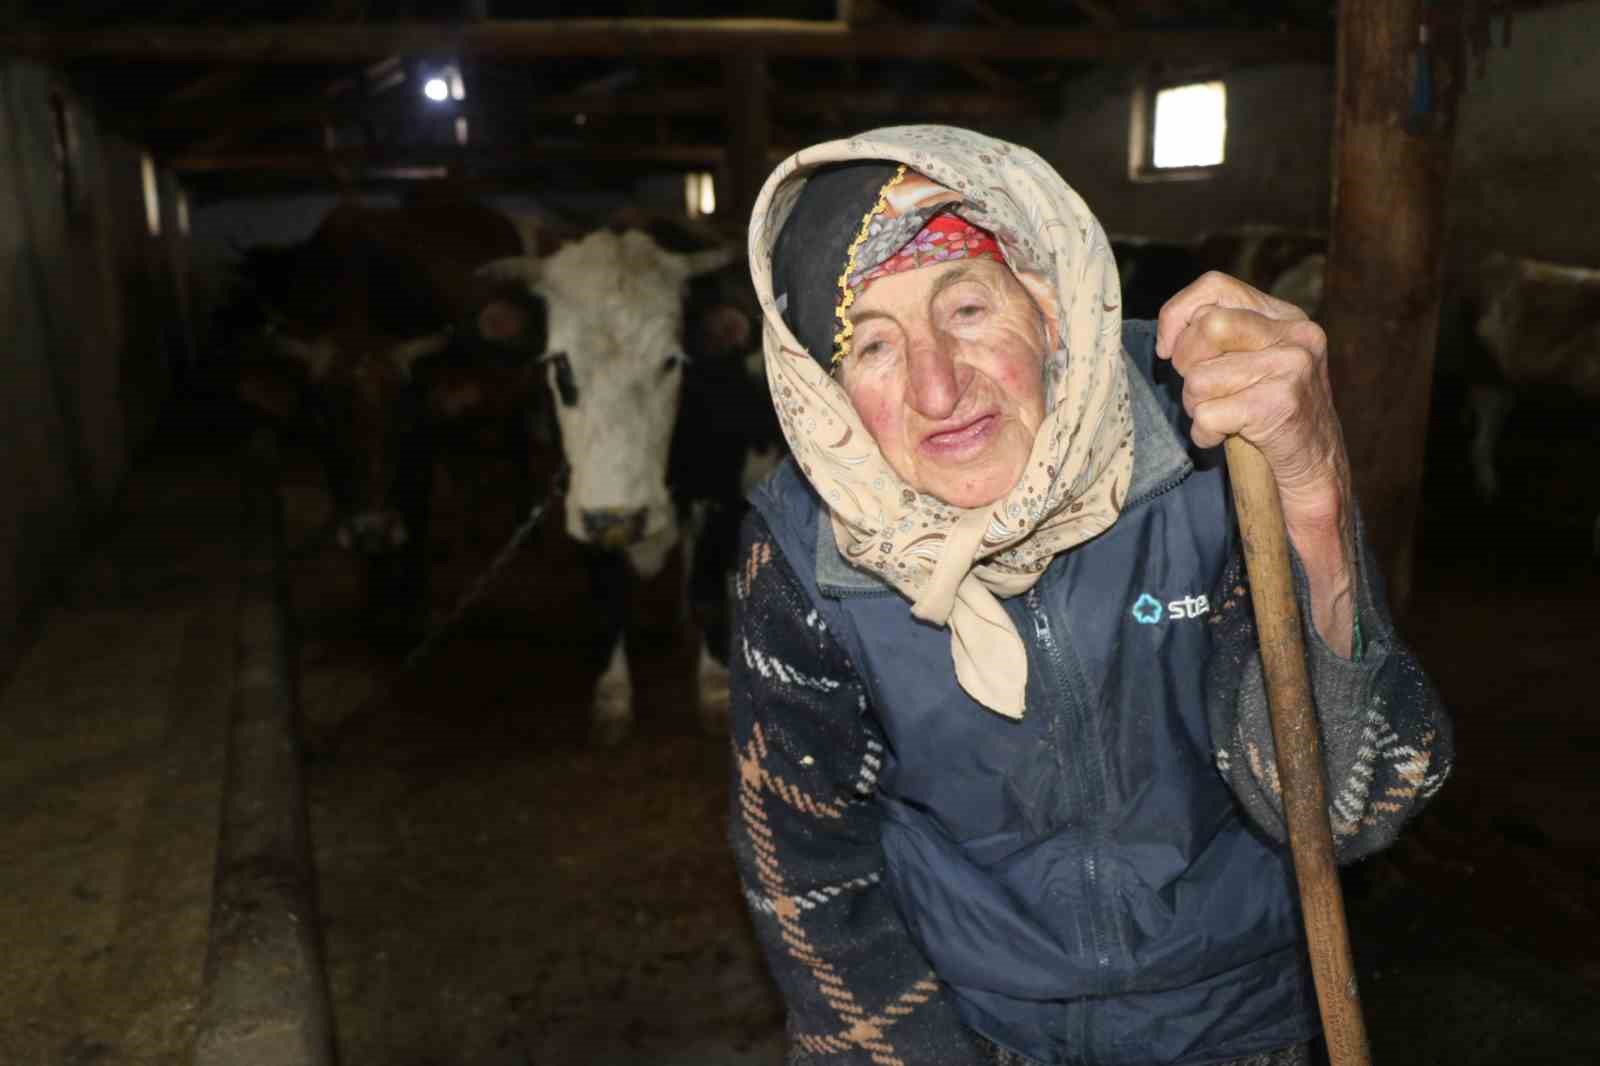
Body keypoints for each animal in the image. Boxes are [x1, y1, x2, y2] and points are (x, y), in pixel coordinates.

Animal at [464, 219, 780, 742]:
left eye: (671, 361)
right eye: (560, 364)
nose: (621, 518)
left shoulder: (718, 495)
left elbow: (706, 589)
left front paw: (714, 685)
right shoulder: (583, 504)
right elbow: (608, 598)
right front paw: (612, 695)